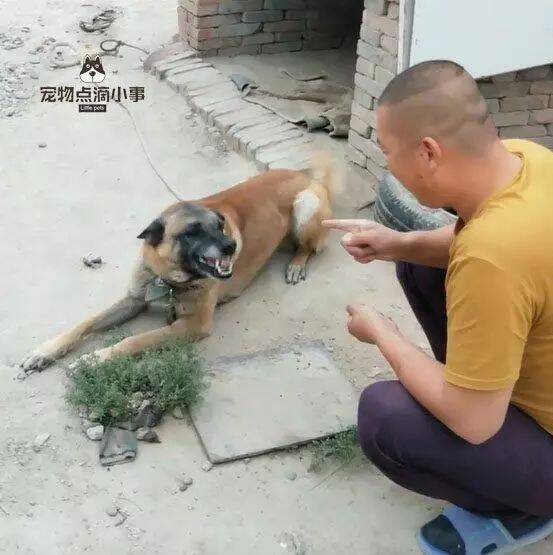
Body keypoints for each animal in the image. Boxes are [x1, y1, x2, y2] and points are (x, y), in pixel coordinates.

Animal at [19, 154, 338, 372]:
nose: (231, 246)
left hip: (306, 206)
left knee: (309, 246)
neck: (168, 278)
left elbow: (134, 341)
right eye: (192, 232)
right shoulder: (133, 300)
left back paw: (297, 263)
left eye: (220, 226)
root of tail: (309, 178)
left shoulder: (192, 325)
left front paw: (97, 358)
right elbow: (84, 323)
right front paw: (46, 351)